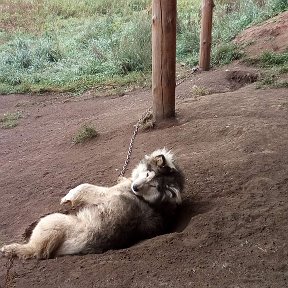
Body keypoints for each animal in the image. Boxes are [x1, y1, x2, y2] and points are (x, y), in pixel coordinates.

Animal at [0, 148, 184, 258]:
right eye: (147, 175)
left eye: (153, 185)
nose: (135, 188)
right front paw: (123, 177)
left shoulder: (104, 193)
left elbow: (83, 187)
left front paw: (68, 197)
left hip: (52, 222)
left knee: (33, 251)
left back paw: (10, 248)